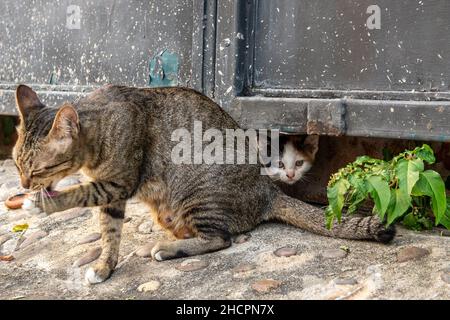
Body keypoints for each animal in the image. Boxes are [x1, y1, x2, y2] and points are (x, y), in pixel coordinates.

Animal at [12, 84, 396, 284]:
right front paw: (105, 266)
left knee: (220, 238)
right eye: (17, 164)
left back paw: (169, 248)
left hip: (199, 194)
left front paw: (41, 202)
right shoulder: (111, 197)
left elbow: (78, 194)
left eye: (36, 169)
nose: (23, 182)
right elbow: (109, 233)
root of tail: (268, 189)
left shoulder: (116, 184)